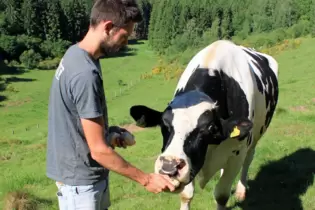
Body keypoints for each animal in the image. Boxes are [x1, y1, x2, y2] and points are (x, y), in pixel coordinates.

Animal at [128, 39, 278, 210]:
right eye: (163, 125)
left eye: (210, 128)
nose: (169, 167)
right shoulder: (192, 162)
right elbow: (186, 195)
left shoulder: (237, 154)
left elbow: (221, 195)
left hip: (256, 136)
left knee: (249, 158)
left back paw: (241, 190)